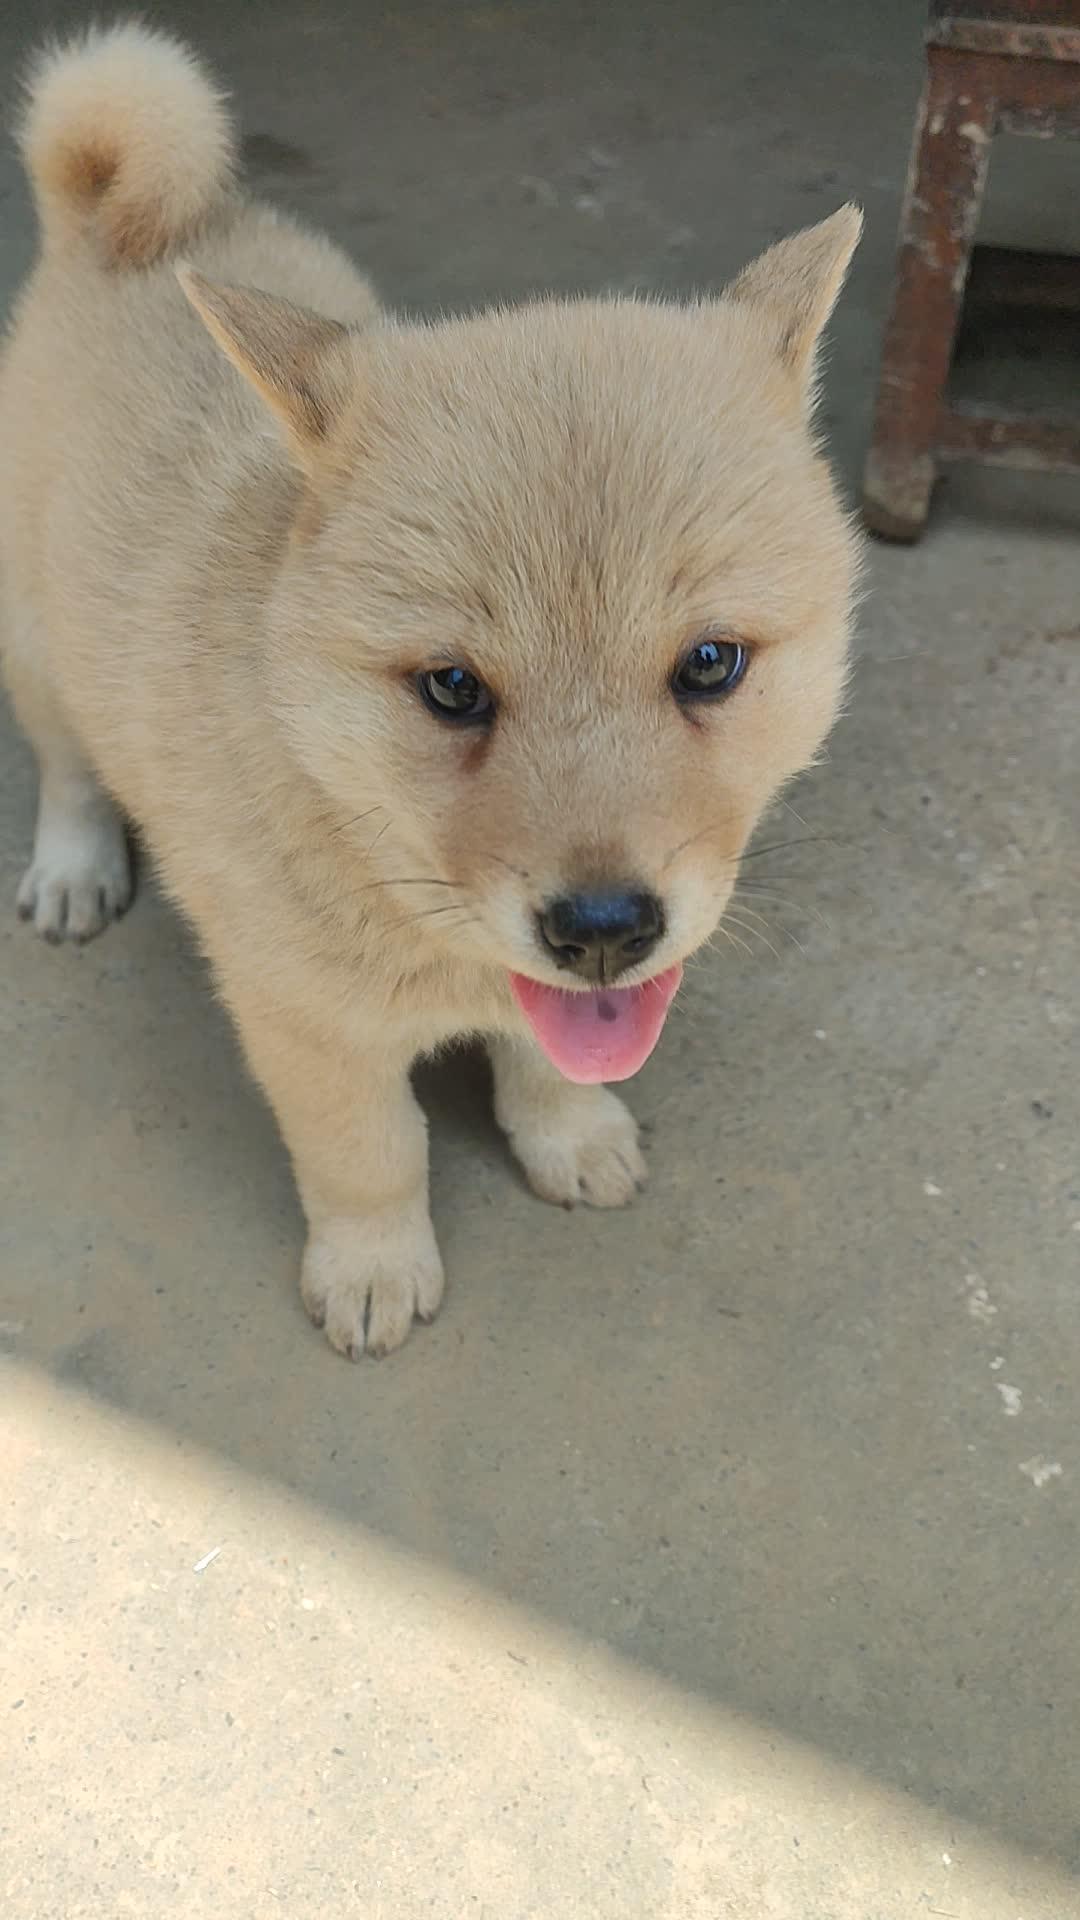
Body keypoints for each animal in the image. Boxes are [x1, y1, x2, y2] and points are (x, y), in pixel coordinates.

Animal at [0, 22, 857, 1359]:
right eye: (451, 688)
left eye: (711, 664)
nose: (603, 933)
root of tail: (109, 226)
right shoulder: (303, 1022)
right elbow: (369, 1154)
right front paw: (372, 1270)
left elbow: (552, 1065)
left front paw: (573, 1138)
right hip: (37, 639)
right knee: (70, 766)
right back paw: (75, 870)